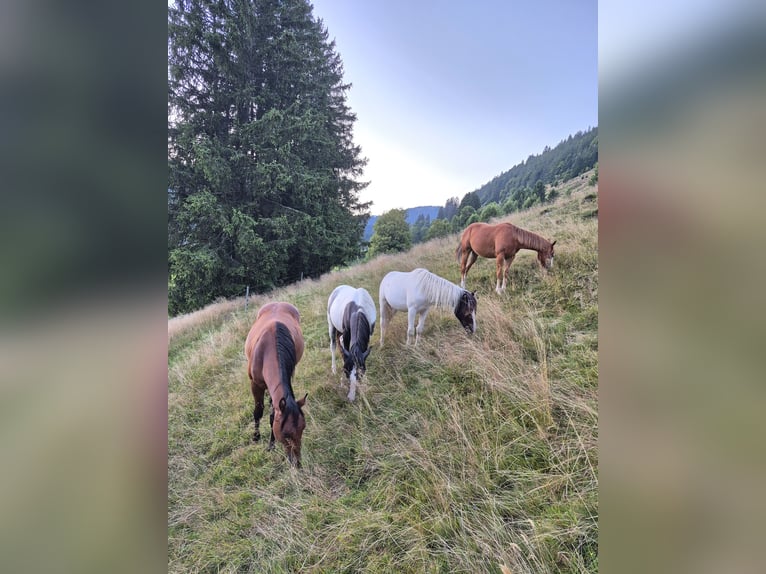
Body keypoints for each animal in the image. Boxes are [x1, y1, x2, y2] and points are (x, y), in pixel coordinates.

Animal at [244, 302, 307, 467]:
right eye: (285, 434)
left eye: (303, 429)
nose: (297, 464)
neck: (268, 352)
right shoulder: (255, 384)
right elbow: (258, 411)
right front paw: (256, 437)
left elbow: (273, 415)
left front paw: (271, 444)